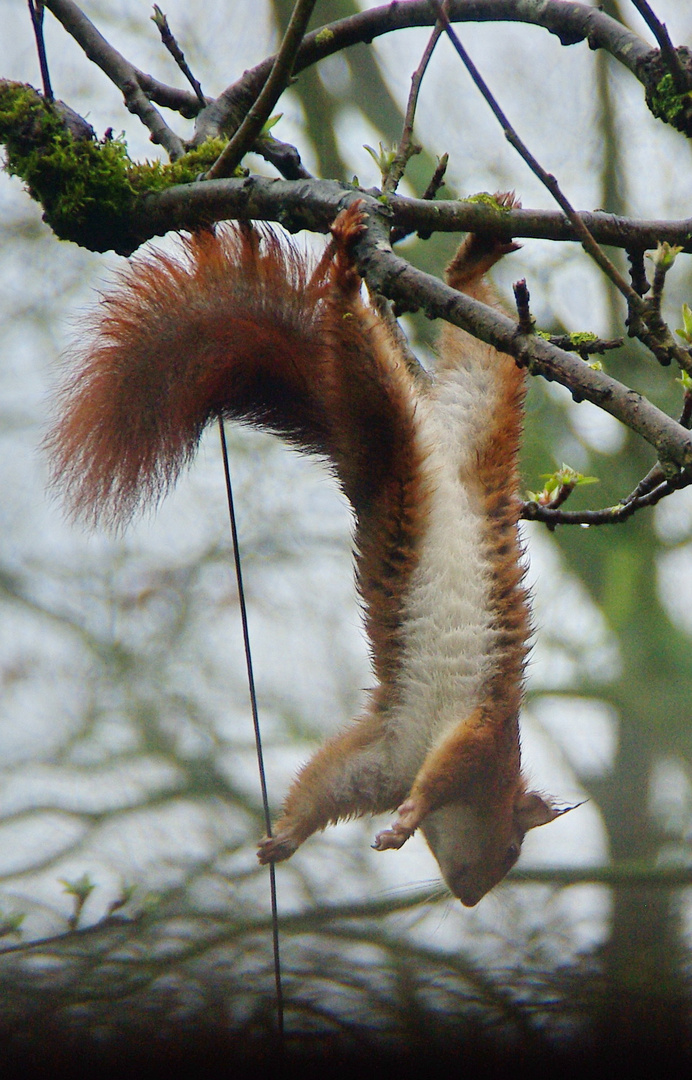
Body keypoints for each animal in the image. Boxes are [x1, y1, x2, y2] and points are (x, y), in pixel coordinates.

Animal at [47, 200, 565, 902]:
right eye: (510, 848)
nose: (471, 897)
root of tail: (435, 440)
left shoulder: (383, 760)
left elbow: (330, 783)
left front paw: (287, 838)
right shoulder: (478, 738)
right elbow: (435, 781)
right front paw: (408, 820)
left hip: (478, 406)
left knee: (480, 347)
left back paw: (468, 261)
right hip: (391, 407)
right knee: (360, 341)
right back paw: (358, 273)